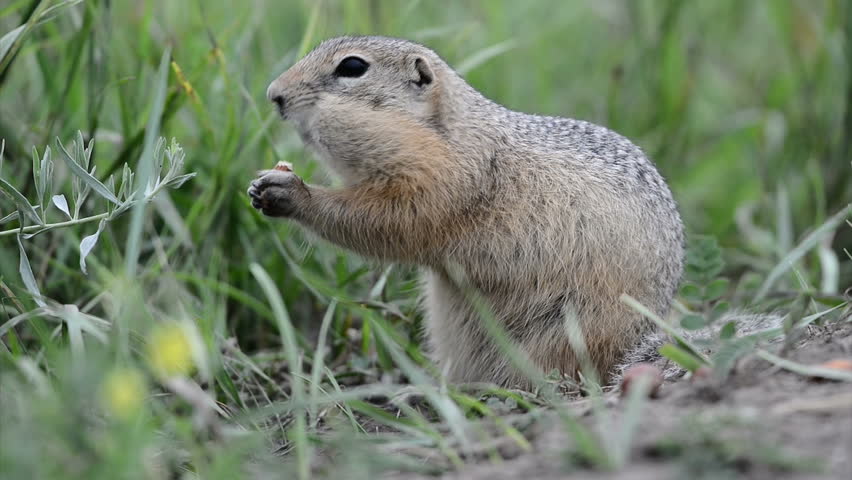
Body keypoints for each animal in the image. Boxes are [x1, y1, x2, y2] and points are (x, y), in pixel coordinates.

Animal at [248, 35, 684, 388]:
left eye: (352, 67)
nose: (273, 94)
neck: (451, 133)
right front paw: (261, 185)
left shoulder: (444, 181)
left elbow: (386, 221)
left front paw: (292, 192)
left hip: (569, 330)